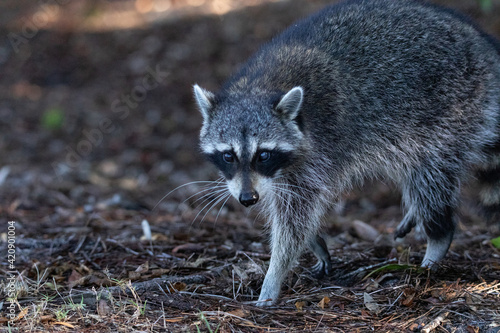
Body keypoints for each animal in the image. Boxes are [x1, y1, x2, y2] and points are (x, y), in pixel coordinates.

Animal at [192, 0, 500, 306]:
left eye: (263, 155)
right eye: (228, 156)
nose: (247, 199)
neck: (259, 87)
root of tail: (484, 46)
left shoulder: (318, 149)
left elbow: (296, 215)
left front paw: (275, 274)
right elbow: (285, 205)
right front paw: (311, 241)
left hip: (449, 110)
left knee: (429, 177)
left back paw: (437, 241)